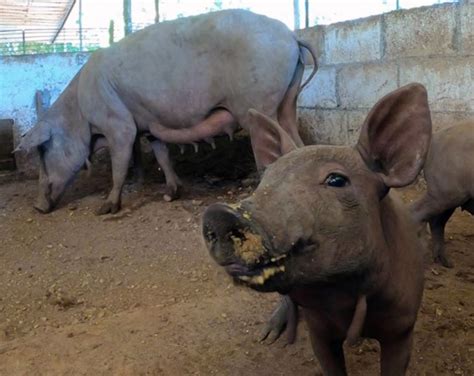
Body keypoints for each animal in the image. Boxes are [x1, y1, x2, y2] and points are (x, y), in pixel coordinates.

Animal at [202, 83, 432, 374]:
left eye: (336, 180)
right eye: (265, 181)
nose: (220, 213)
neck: (343, 296)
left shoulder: (402, 327)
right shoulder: (319, 329)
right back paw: (269, 335)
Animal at [410, 120, 472, 268]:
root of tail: (434, 139)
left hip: (449, 198)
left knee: (437, 222)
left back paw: (446, 262)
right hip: (445, 194)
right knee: (415, 212)